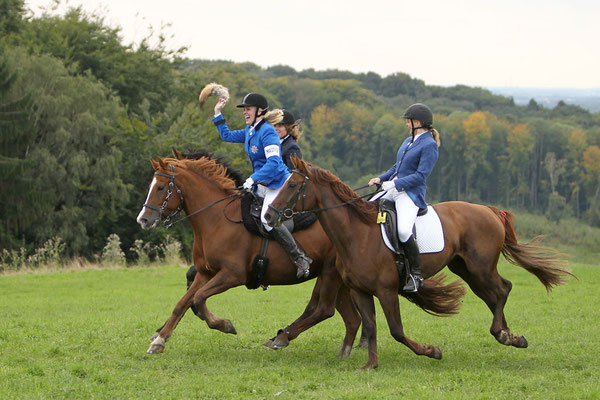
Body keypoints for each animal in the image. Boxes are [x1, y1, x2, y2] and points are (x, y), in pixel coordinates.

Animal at [137, 150, 364, 356]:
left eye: (160, 187)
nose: (143, 219)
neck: (216, 219)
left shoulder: (231, 275)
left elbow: (199, 298)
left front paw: (224, 325)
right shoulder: (205, 273)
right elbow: (183, 303)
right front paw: (159, 340)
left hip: (330, 274)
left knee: (324, 309)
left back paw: (283, 337)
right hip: (337, 279)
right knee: (350, 318)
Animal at [264, 156, 568, 368]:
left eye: (292, 184)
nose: (268, 216)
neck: (358, 234)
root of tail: (490, 210)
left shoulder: (386, 291)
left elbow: (396, 331)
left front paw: (431, 351)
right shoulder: (361, 290)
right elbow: (371, 326)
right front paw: (370, 364)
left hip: (480, 267)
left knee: (503, 289)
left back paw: (503, 334)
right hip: (465, 268)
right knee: (493, 295)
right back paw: (509, 336)